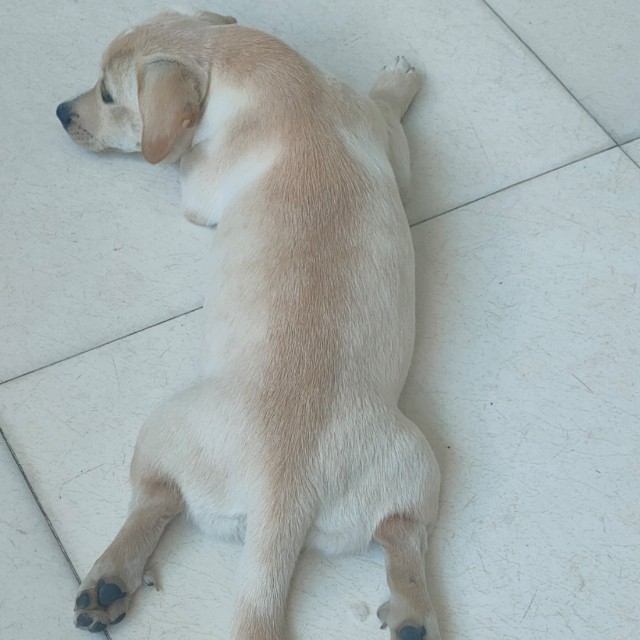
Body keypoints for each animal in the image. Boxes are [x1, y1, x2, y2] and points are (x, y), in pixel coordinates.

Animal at [56, 11, 441, 640]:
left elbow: (184, 167)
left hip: (162, 428)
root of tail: (282, 498)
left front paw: (396, 80)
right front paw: (397, 80)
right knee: (404, 539)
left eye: (107, 94)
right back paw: (412, 617)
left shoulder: (201, 187)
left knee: (154, 499)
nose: (61, 112)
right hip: (411, 470)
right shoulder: (387, 140)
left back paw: (108, 577)